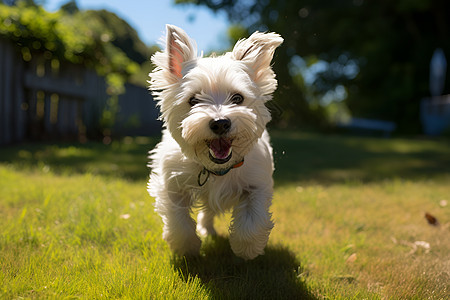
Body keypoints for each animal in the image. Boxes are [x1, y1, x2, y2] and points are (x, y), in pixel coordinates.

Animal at [148, 24, 282, 260]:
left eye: (237, 98)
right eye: (193, 100)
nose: (220, 123)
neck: (217, 169)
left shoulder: (257, 183)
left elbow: (252, 221)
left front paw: (247, 249)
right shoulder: (172, 185)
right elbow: (178, 221)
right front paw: (187, 249)